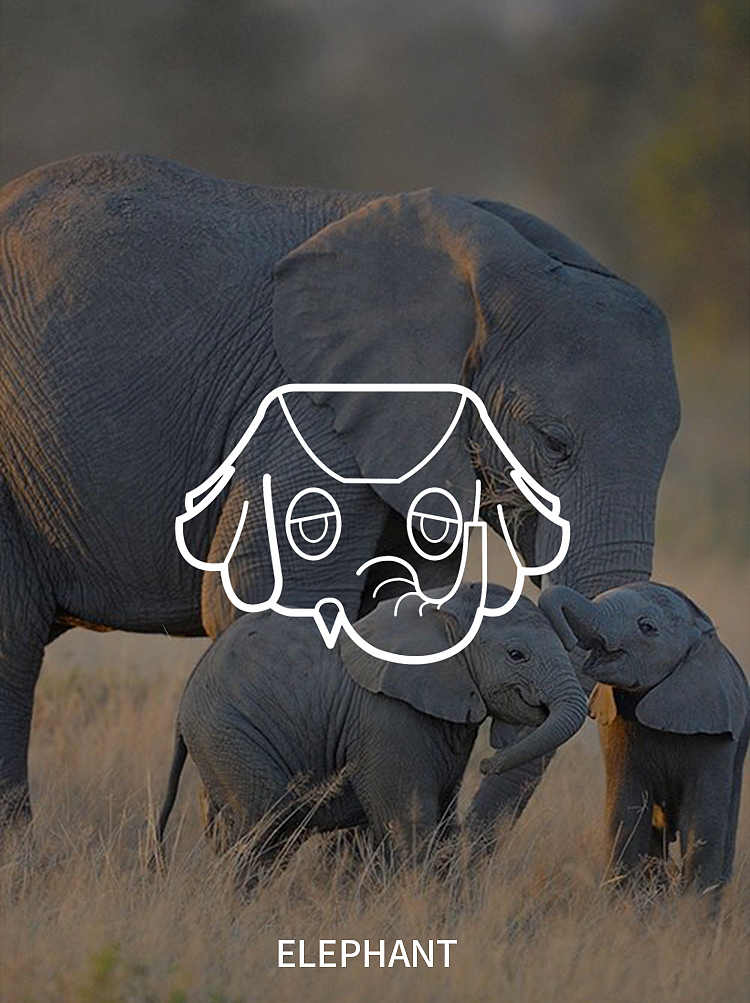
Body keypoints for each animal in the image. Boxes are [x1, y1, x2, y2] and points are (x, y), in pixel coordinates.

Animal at [155, 583, 587, 874]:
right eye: (517, 655)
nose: (488, 765)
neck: (443, 610)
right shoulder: (387, 719)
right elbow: (410, 825)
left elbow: (445, 824)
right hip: (229, 732)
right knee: (267, 827)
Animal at [539, 582, 749, 893]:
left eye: (647, 627)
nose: (567, 641)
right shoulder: (616, 724)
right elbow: (625, 811)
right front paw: (623, 902)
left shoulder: (716, 733)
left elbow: (702, 822)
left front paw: (693, 907)